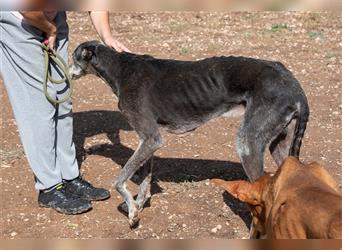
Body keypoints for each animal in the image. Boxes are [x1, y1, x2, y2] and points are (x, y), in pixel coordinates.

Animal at [69, 40, 310, 227]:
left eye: (73, 56)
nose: (68, 73)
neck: (120, 69)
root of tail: (295, 86)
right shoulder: (149, 141)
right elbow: (145, 183)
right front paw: (136, 208)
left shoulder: (151, 138)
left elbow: (119, 181)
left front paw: (132, 210)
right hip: (280, 146)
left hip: (247, 145)